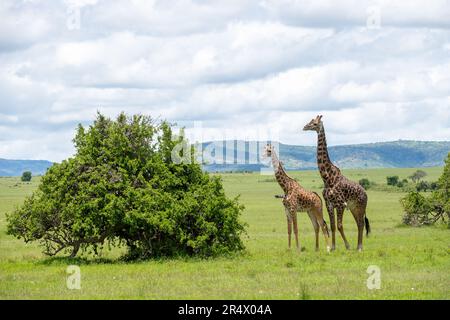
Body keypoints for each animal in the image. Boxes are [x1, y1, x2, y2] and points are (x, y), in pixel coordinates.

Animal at [302, 116, 370, 251]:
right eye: (310, 121)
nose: (305, 127)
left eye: (315, 123)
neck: (328, 178)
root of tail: (365, 193)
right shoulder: (329, 204)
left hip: (361, 206)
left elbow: (339, 225)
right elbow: (333, 225)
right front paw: (333, 247)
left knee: (361, 223)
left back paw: (359, 247)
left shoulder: (340, 204)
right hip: (354, 207)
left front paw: (347, 246)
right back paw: (358, 246)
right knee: (359, 223)